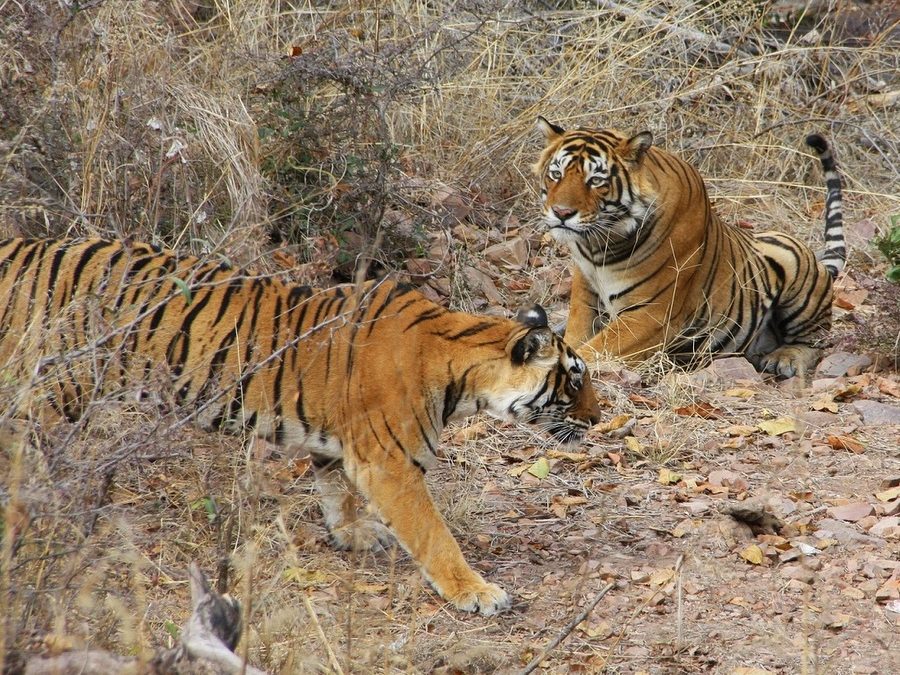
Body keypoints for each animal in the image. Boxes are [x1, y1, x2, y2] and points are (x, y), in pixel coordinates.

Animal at [1, 238, 604, 616]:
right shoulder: (390, 463)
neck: (463, 369)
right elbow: (435, 536)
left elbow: (336, 492)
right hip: (53, 390)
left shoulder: (341, 445)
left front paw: (353, 535)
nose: (598, 419)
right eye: (575, 380)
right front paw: (475, 592)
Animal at [536, 118, 844, 378]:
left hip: (792, 262)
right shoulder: (585, 297)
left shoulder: (650, 316)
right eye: (556, 174)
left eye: (596, 180)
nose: (561, 213)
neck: (599, 245)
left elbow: (593, 350)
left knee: (815, 342)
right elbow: (575, 337)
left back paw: (784, 359)